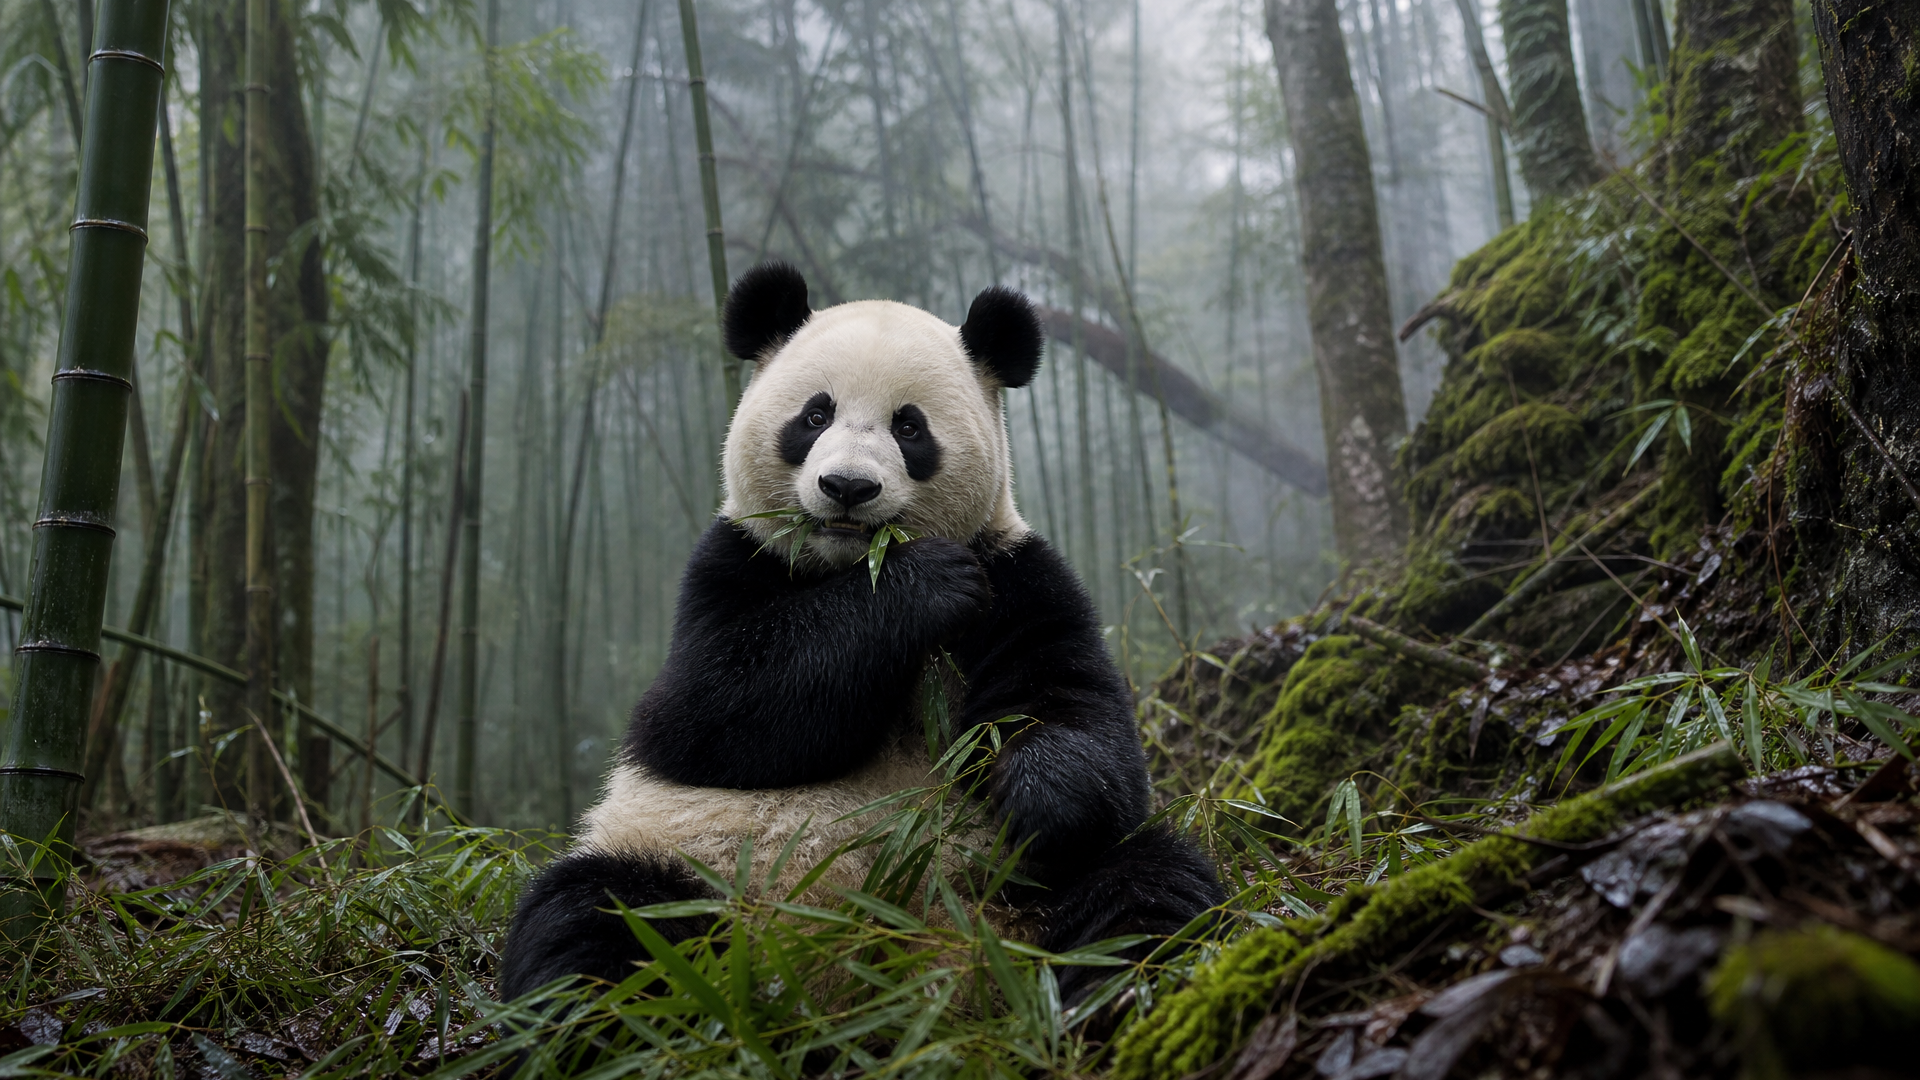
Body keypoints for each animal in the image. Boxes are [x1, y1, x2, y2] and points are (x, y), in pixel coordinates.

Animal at [497, 262, 1224, 1005]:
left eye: (909, 427)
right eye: (815, 416)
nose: (847, 486)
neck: (849, 565)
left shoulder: (1020, 576)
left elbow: (1079, 712)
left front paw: (1039, 798)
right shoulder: (730, 564)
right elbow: (704, 711)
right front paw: (924, 584)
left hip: (1016, 890)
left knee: (1146, 891)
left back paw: (1128, 995)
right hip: (684, 864)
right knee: (595, 921)